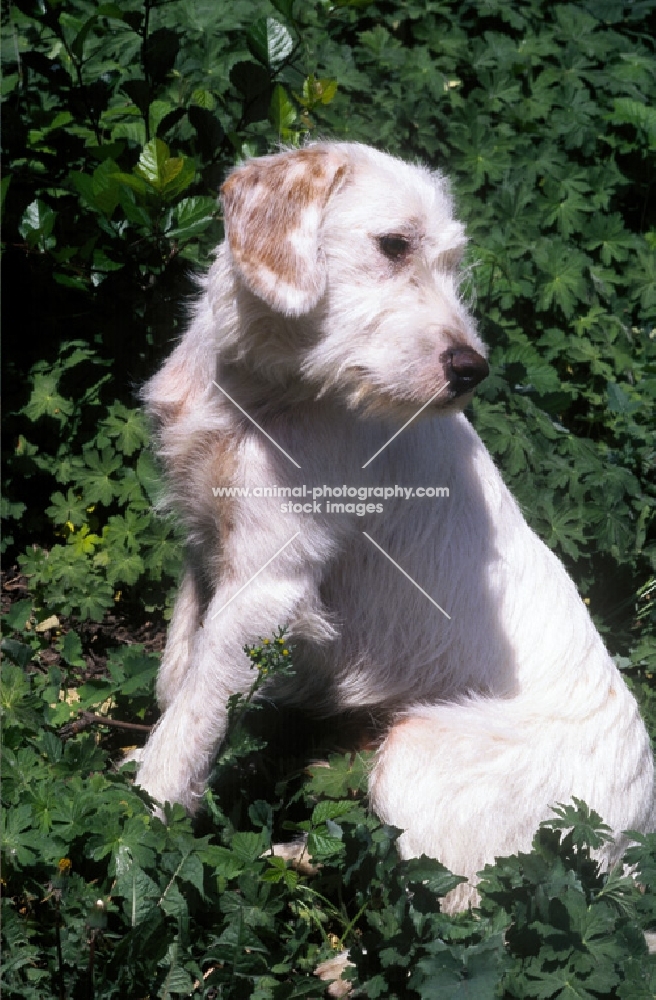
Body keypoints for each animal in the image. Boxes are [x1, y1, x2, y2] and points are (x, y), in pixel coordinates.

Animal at [135, 141, 656, 916]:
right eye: (393, 245)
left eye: (451, 261)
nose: (473, 369)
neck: (263, 393)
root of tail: (633, 844)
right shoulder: (207, 551)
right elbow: (178, 674)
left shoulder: (267, 583)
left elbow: (195, 714)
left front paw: (144, 812)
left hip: (415, 755)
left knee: (452, 904)